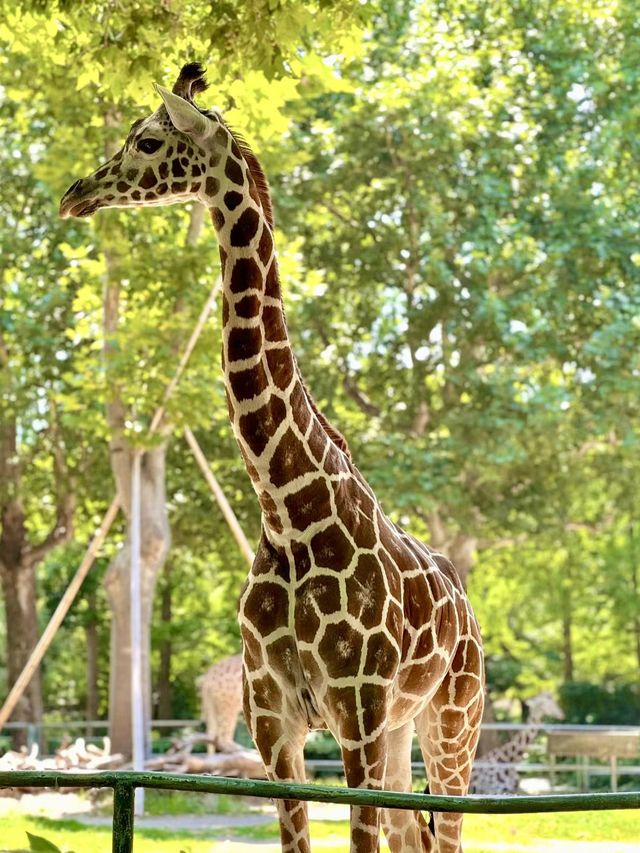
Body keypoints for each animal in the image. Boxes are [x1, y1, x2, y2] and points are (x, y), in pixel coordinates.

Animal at [61, 61, 484, 852]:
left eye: (147, 139)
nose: (75, 192)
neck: (287, 509)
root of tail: (468, 608)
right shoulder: (274, 721)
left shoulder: (355, 709)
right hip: (402, 728)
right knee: (413, 830)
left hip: (453, 720)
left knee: (445, 828)